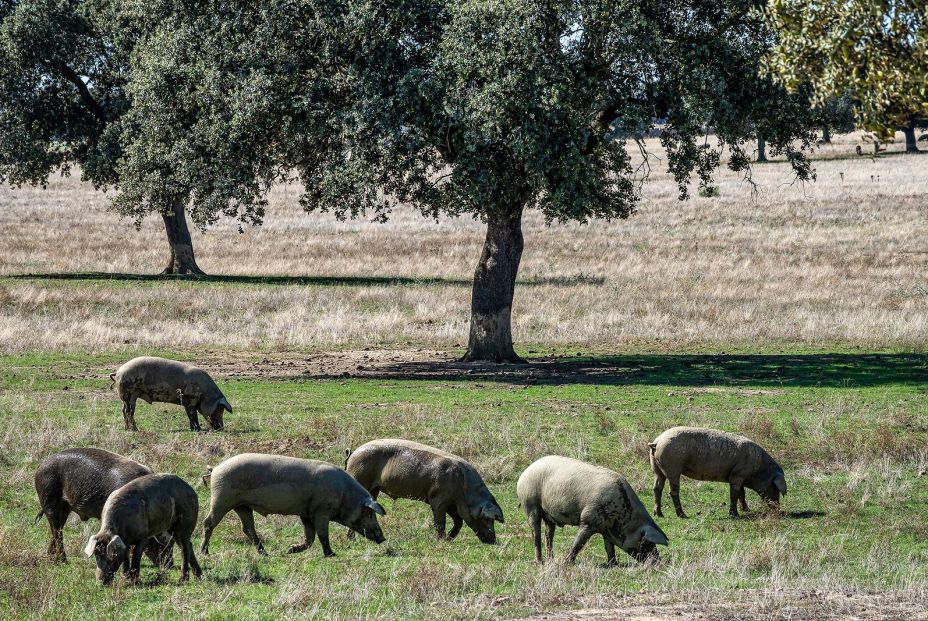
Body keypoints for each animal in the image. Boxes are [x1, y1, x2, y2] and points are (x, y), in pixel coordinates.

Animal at [33, 447, 172, 566]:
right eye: (161, 543)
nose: (170, 565)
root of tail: (40, 467)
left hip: (65, 507)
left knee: (57, 530)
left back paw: (52, 559)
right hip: (49, 499)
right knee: (57, 531)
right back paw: (63, 561)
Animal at [200, 453, 386, 557]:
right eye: (369, 513)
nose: (383, 538)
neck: (345, 496)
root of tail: (215, 468)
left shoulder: (306, 514)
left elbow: (310, 538)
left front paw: (290, 550)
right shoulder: (321, 512)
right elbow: (322, 535)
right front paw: (332, 554)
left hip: (242, 506)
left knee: (247, 529)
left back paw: (265, 554)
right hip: (221, 499)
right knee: (208, 523)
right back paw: (205, 552)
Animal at [345, 439, 504, 543]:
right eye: (487, 518)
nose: (493, 540)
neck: (464, 488)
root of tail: (352, 453)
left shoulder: (452, 504)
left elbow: (458, 521)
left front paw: (449, 539)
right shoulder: (438, 499)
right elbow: (440, 522)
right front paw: (441, 541)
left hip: (374, 489)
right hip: (359, 477)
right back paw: (351, 540)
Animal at [516, 455, 668, 565]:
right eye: (646, 542)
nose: (658, 562)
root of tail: (525, 472)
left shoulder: (606, 529)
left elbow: (609, 547)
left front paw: (613, 564)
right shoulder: (588, 521)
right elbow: (578, 543)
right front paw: (567, 563)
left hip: (549, 515)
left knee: (549, 534)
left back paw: (550, 560)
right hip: (530, 505)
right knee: (536, 534)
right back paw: (539, 562)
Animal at [648, 426, 787, 518]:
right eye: (775, 487)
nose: (778, 508)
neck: (759, 470)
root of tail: (657, 442)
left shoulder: (739, 476)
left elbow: (742, 494)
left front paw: (747, 510)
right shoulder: (737, 476)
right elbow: (734, 495)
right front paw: (735, 515)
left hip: (656, 469)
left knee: (657, 489)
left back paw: (659, 514)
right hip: (673, 468)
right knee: (672, 491)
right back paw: (682, 515)